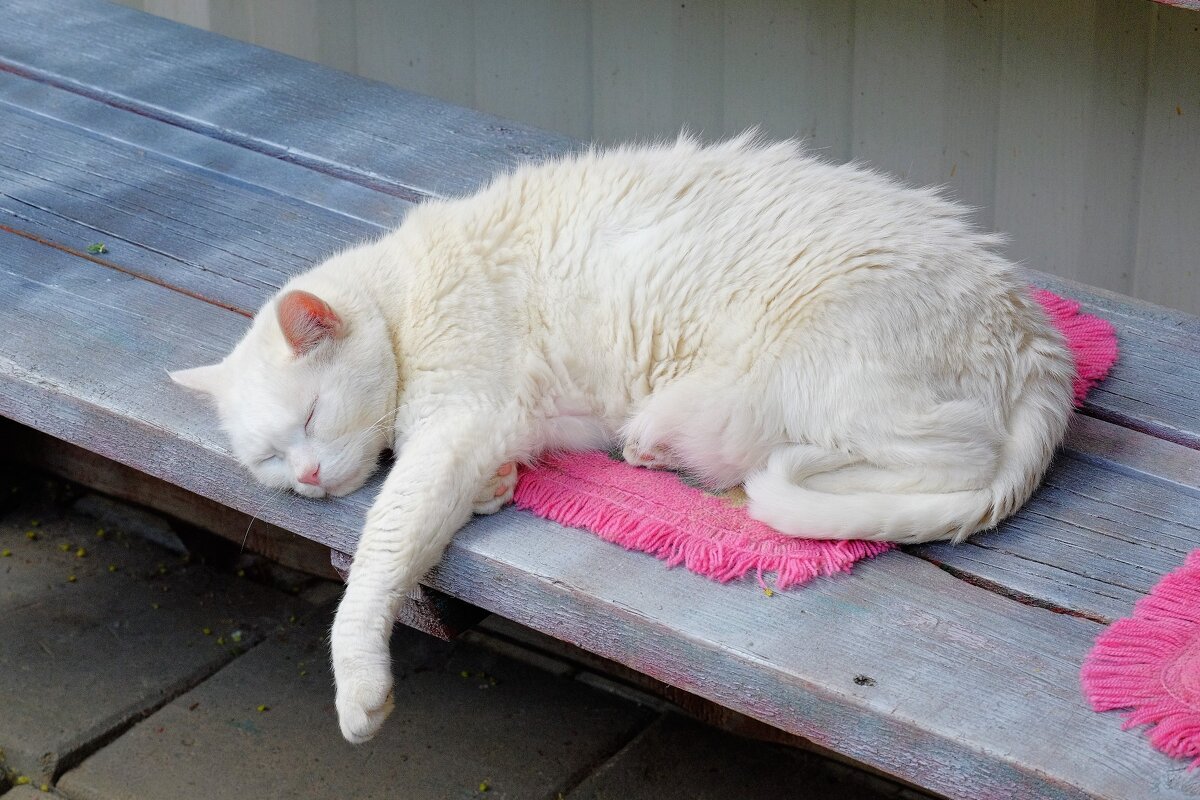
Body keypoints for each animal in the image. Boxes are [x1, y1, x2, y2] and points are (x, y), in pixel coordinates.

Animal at [171, 136, 1080, 743]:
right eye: (270, 461)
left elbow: (381, 550)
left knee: (941, 457)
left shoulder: (456, 420)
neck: (405, 290)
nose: (309, 478)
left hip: (826, 372)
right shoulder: (499, 425)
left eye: (310, 419)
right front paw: (500, 484)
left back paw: (695, 448)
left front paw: (359, 689)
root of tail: (1035, 333)